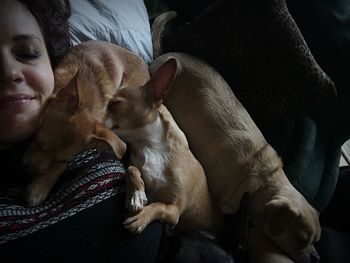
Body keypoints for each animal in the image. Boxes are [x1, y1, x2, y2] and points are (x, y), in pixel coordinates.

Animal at [105, 58, 223, 235]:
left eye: (115, 104)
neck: (149, 146)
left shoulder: (174, 211)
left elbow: (158, 206)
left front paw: (141, 217)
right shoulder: (136, 165)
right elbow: (131, 169)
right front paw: (136, 195)